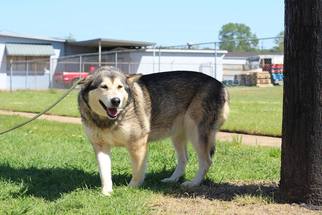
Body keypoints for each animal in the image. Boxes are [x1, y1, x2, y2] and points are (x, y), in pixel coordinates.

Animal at [78, 66, 229, 196]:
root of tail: (221, 85)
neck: (107, 121)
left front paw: (132, 188)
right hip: (177, 135)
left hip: (195, 132)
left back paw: (194, 183)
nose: (116, 101)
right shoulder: (100, 146)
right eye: (103, 86)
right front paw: (106, 192)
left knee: (206, 161)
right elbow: (104, 172)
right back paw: (172, 179)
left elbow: (137, 171)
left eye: (120, 87)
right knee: (184, 159)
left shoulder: (138, 144)